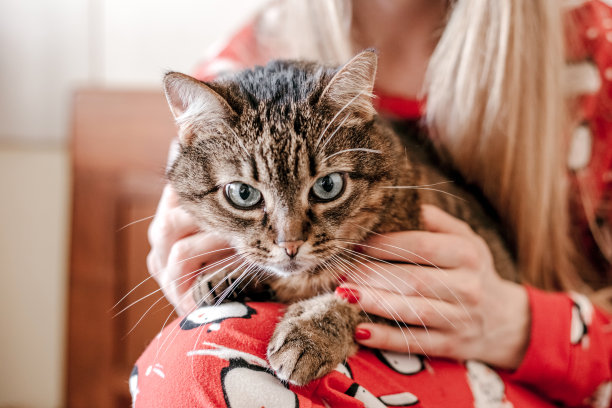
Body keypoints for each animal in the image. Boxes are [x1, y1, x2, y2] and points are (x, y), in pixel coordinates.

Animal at [164, 50, 516, 386]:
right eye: (243, 193)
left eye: (328, 186)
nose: (290, 244)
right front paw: (227, 275)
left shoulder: (419, 285)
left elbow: (355, 302)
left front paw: (310, 334)